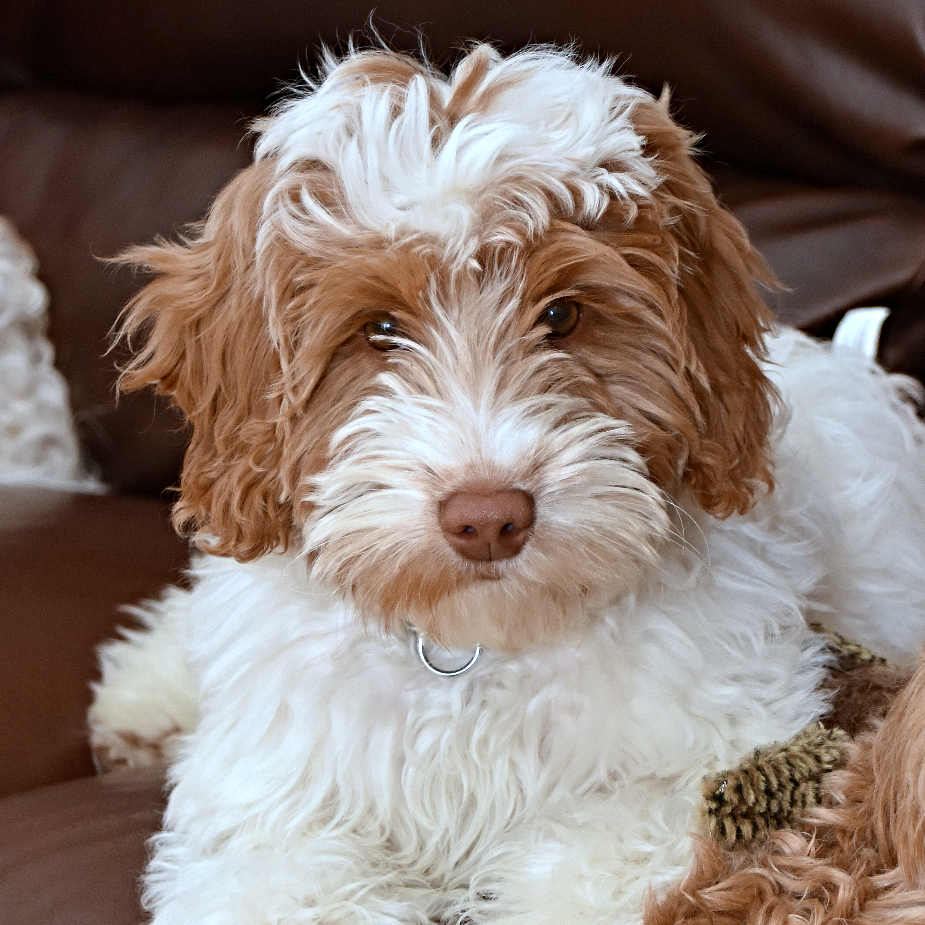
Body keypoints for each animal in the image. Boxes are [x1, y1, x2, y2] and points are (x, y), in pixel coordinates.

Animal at [88, 45, 924, 924]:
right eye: (379, 330)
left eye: (561, 316)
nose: (488, 517)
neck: (471, 646)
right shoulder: (273, 806)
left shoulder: (704, 763)